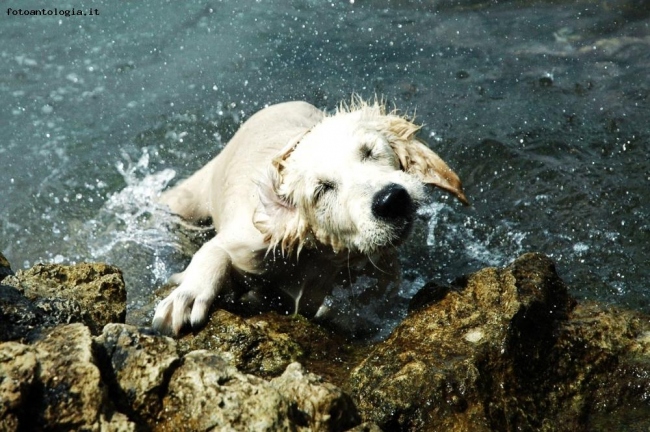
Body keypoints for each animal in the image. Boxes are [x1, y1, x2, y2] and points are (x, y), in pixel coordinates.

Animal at [152, 99, 466, 336]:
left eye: (369, 151)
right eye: (323, 188)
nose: (391, 200)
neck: (324, 253)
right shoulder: (256, 239)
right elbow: (217, 249)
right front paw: (186, 299)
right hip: (196, 191)